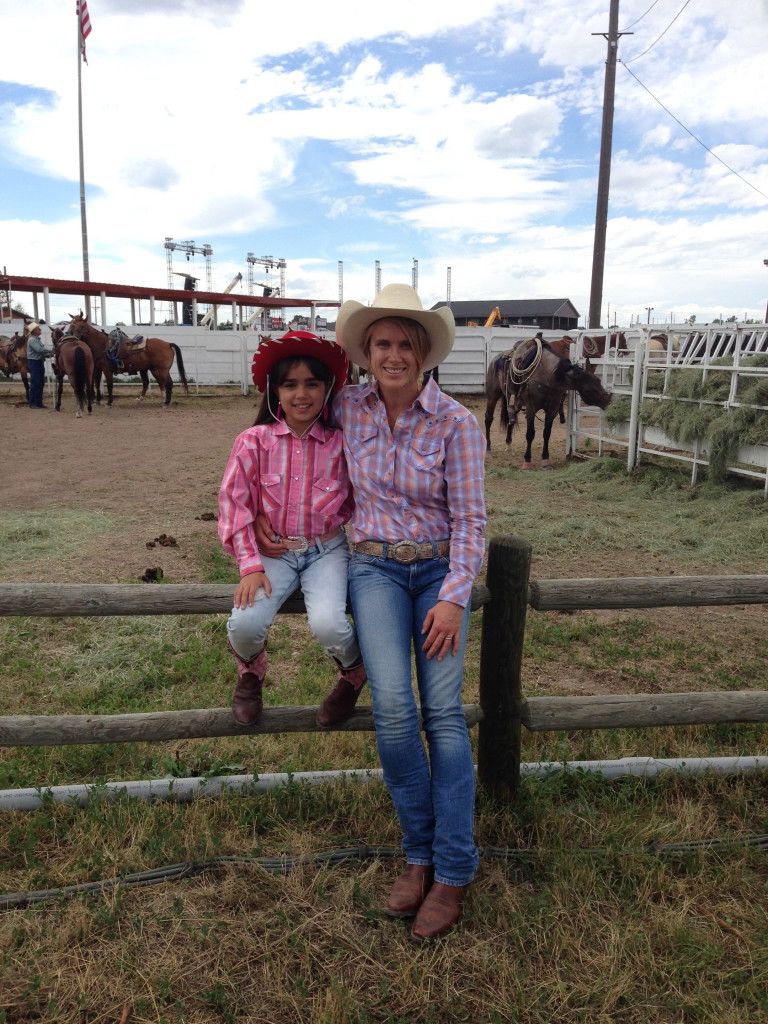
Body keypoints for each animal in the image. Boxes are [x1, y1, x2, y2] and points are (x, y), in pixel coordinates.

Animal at [487, 335, 614, 468]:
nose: (608, 402)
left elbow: (546, 433)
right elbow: (530, 434)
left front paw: (546, 459)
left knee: (511, 419)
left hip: (513, 401)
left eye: (598, 381)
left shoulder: (552, 409)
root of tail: (496, 358)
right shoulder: (531, 409)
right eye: (588, 389)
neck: (547, 376)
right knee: (488, 418)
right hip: (492, 395)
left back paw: (509, 447)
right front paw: (527, 460)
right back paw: (488, 449)